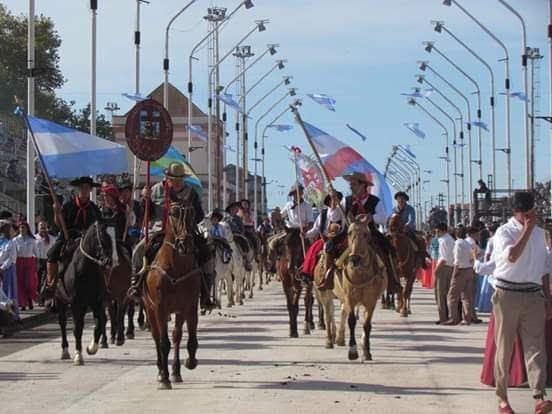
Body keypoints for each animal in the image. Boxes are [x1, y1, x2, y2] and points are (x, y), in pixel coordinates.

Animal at [56, 222, 115, 364]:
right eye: (102, 240)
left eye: (111, 240)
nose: (108, 262)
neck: (86, 269)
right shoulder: (76, 303)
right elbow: (78, 328)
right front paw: (78, 355)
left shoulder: (96, 302)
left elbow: (99, 323)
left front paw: (92, 347)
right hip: (60, 300)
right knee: (63, 322)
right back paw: (65, 350)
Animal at [141, 202, 202, 390]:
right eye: (173, 213)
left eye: (192, 213)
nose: (185, 243)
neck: (176, 266)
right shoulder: (160, 307)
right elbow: (163, 342)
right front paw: (165, 378)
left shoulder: (189, 306)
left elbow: (189, 339)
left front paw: (189, 362)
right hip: (150, 308)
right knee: (157, 337)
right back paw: (162, 372)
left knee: (176, 335)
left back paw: (175, 371)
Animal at [312, 215, 386, 360]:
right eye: (349, 233)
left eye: (366, 234)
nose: (355, 259)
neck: (360, 274)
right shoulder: (350, 298)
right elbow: (351, 321)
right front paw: (353, 351)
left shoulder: (371, 301)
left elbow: (366, 324)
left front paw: (366, 350)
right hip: (325, 294)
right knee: (329, 314)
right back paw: (329, 339)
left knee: (340, 312)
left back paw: (339, 338)